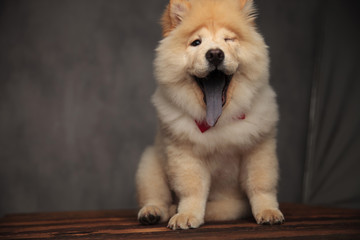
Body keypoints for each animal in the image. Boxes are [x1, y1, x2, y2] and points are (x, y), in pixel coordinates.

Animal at [135, 0, 284, 230]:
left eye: (228, 39)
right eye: (196, 42)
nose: (214, 54)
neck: (220, 120)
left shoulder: (259, 147)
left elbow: (261, 184)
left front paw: (268, 212)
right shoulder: (185, 153)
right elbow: (192, 189)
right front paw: (186, 215)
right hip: (149, 162)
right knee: (156, 195)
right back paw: (152, 212)